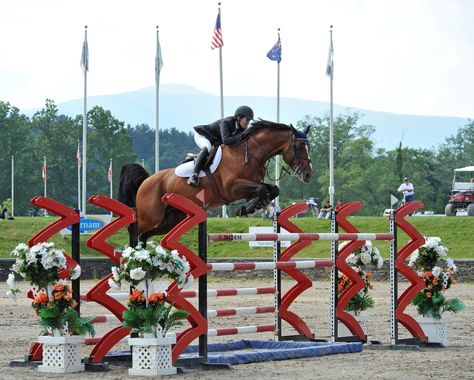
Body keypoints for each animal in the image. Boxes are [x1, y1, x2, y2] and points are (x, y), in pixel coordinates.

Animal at [117, 119, 312, 243]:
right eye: (299, 146)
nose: (308, 175)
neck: (251, 153)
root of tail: (147, 180)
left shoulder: (251, 185)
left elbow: (271, 190)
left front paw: (249, 208)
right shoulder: (233, 188)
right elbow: (263, 190)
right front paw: (247, 209)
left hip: (171, 220)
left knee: (145, 235)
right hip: (150, 215)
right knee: (135, 230)